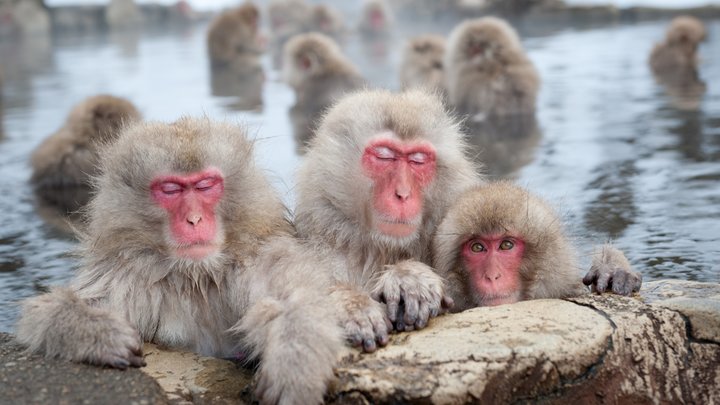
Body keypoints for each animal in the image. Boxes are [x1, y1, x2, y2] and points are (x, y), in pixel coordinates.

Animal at [16, 117, 343, 405]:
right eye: (171, 189)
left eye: (206, 185)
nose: (194, 219)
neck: (195, 275)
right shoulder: (126, 275)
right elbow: (44, 313)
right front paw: (100, 334)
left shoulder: (257, 260)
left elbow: (296, 299)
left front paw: (293, 366)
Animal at [295, 89, 482, 352]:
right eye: (384, 157)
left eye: (417, 160)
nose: (402, 194)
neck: (381, 249)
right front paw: (352, 305)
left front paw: (410, 278)